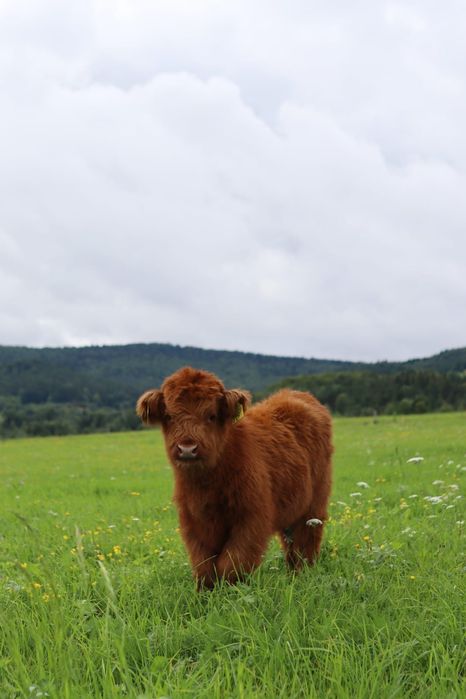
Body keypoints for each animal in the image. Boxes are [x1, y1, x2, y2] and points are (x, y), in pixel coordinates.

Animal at [136, 366, 333, 589]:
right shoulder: (193, 522)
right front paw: (205, 592)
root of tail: (298, 394)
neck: (206, 485)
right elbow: (203, 563)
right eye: (169, 416)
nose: (187, 448)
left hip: (315, 503)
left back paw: (303, 572)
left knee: (307, 539)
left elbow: (232, 562)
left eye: (211, 416)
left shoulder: (251, 519)